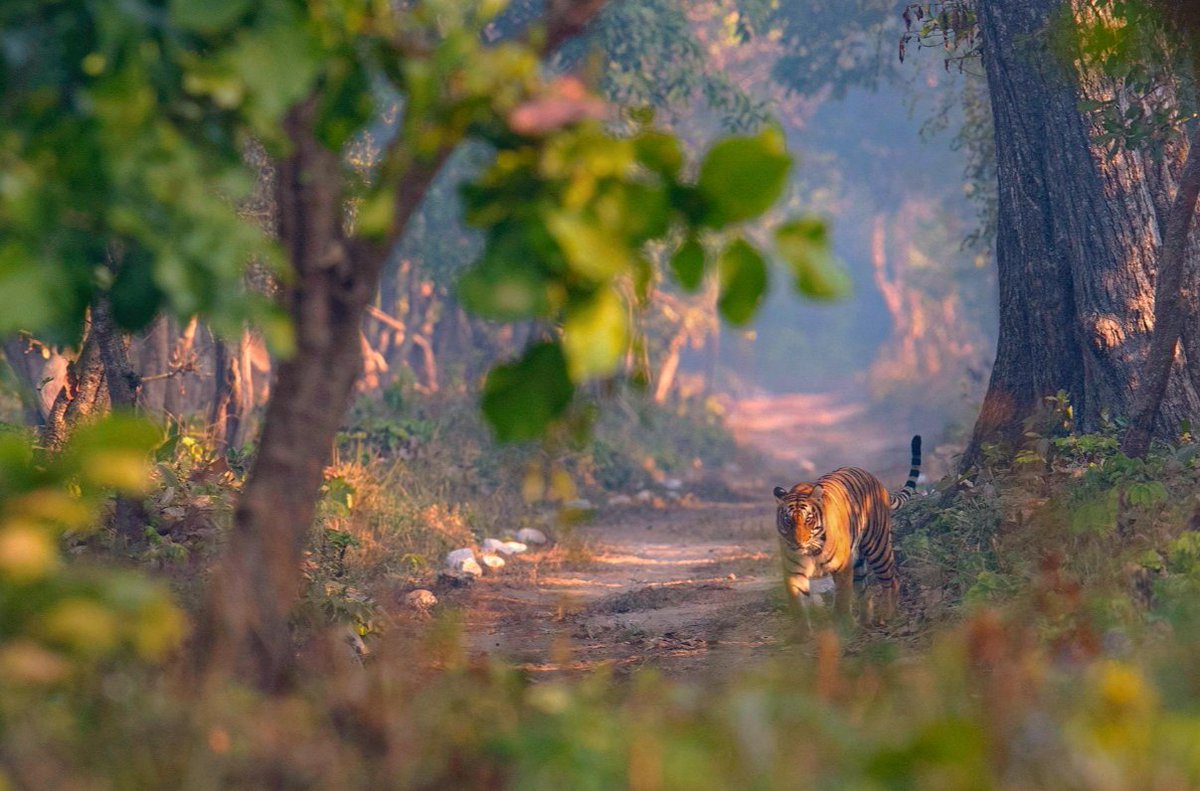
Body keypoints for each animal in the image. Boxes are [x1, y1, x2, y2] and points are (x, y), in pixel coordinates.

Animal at [772, 434, 921, 624]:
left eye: (808, 520)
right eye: (787, 521)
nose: (798, 543)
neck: (811, 550)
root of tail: (876, 479)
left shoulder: (842, 568)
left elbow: (842, 601)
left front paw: (843, 624)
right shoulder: (794, 573)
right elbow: (798, 608)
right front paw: (802, 631)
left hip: (877, 548)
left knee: (892, 581)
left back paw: (887, 616)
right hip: (858, 562)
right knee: (866, 592)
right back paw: (864, 622)